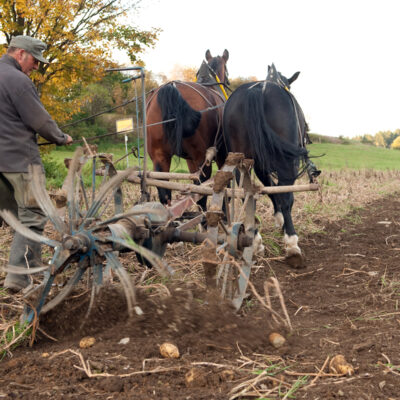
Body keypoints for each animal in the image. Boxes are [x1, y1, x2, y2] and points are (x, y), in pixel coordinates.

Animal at [146, 48, 228, 208]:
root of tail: (171, 88)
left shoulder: (190, 160)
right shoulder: (221, 154)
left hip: (160, 158)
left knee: (164, 192)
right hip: (202, 159)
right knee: (200, 193)